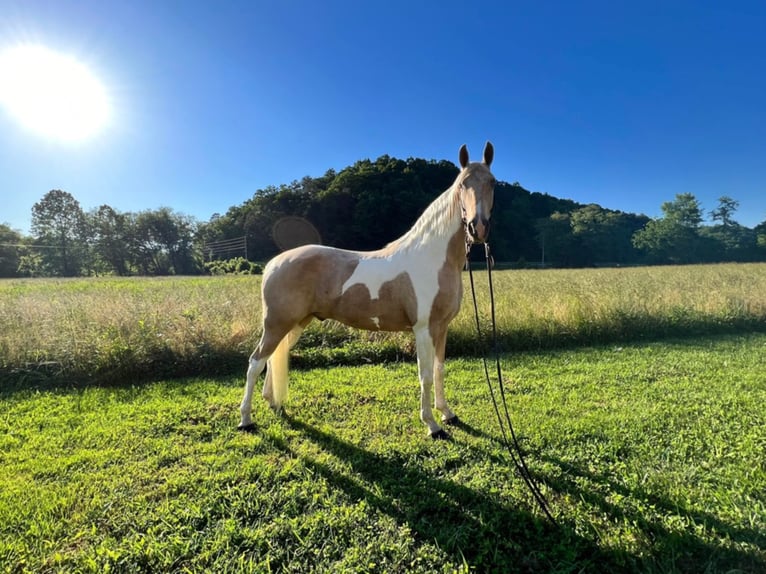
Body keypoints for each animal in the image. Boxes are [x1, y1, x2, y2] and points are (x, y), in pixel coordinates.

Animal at [240, 143, 498, 440]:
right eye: (462, 184)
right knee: (255, 362)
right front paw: (432, 425)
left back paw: (273, 403)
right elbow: (425, 375)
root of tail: (273, 263)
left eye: (492, 183)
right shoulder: (423, 329)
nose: (478, 228)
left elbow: (439, 369)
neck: (433, 258)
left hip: (294, 324)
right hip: (276, 324)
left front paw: (448, 414)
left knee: (272, 359)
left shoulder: (442, 327)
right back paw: (246, 420)